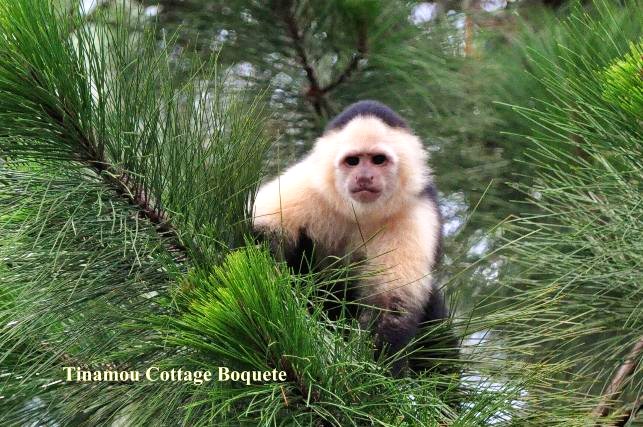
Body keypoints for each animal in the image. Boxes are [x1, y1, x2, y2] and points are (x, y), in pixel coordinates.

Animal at [252, 99, 452, 374]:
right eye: (353, 161)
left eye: (378, 160)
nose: (365, 177)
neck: (358, 213)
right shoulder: (306, 186)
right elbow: (257, 238)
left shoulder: (414, 212)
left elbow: (390, 301)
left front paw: (376, 373)